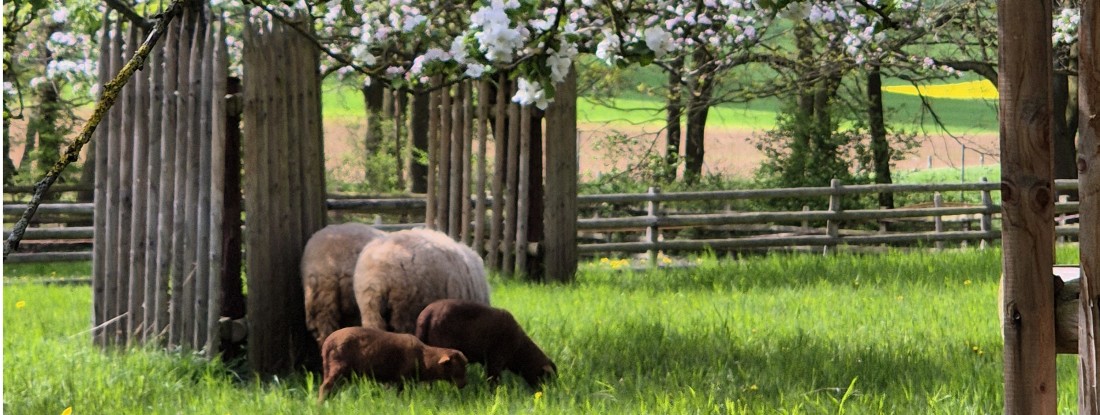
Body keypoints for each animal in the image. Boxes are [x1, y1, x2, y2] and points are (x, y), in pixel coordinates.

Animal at [317, 326, 468, 403]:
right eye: (458, 365)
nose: (464, 384)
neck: (424, 358)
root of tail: (327, 344)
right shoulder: (404, 379)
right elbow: (402, 395)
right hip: (338, 368)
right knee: (325, 387)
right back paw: (321, 405)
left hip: (340, 373)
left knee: (332, 388)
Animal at [416, 299, 556, 389]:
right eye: (548, 377)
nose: (550, 392)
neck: (520, 349)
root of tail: (427, 315)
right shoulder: (496, 359)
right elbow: (493, 381)